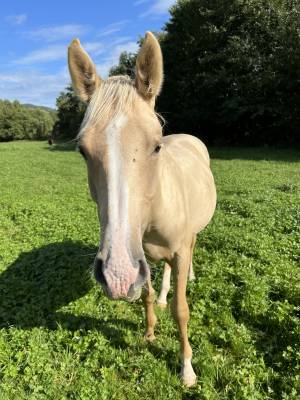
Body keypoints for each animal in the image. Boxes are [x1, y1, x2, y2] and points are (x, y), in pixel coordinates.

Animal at [68, 31, 216, 388]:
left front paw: (186, 369)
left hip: (191, 236)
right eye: (82, 150)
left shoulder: (177, 250)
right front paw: (149, 333)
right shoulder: (142, 257)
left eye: (156, 146)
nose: (117, 276)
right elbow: (147, 294)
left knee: (191, 251)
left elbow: (181, 310)